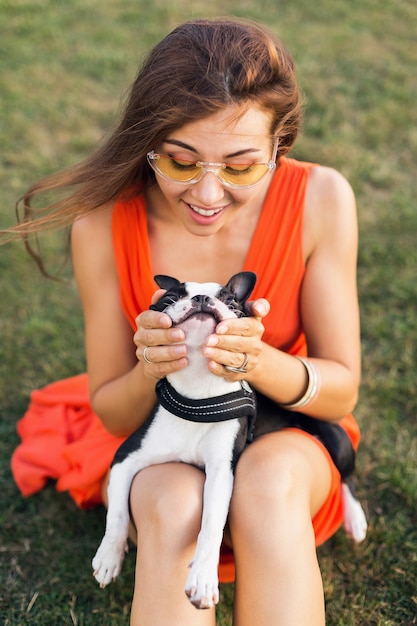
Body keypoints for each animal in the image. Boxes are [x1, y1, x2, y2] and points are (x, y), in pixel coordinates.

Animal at [91, 270, 364, 608]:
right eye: (171, 298)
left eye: (231, 301)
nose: (201, 298)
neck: (197, 394)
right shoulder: (126, 457)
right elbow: (116, 513)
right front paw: (109, 556)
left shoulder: (221, 472)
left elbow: (210, 525)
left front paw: (203, 578)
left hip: (337, 440)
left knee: (347, 477)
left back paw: (355, 519)